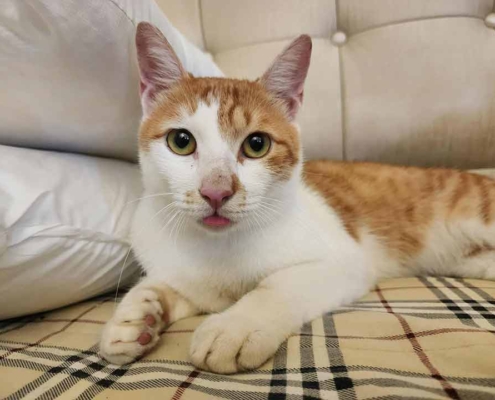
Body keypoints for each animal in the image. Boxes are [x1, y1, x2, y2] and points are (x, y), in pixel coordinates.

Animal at [100, 22, 495, 374]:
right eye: (181, 141)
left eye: (257, 144)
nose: (216, 191)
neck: (218, 249)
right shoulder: (192, 279)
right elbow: (168, 284)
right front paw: (135, 315)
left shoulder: (346, 261)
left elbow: (278, 284)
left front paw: (235, 326)